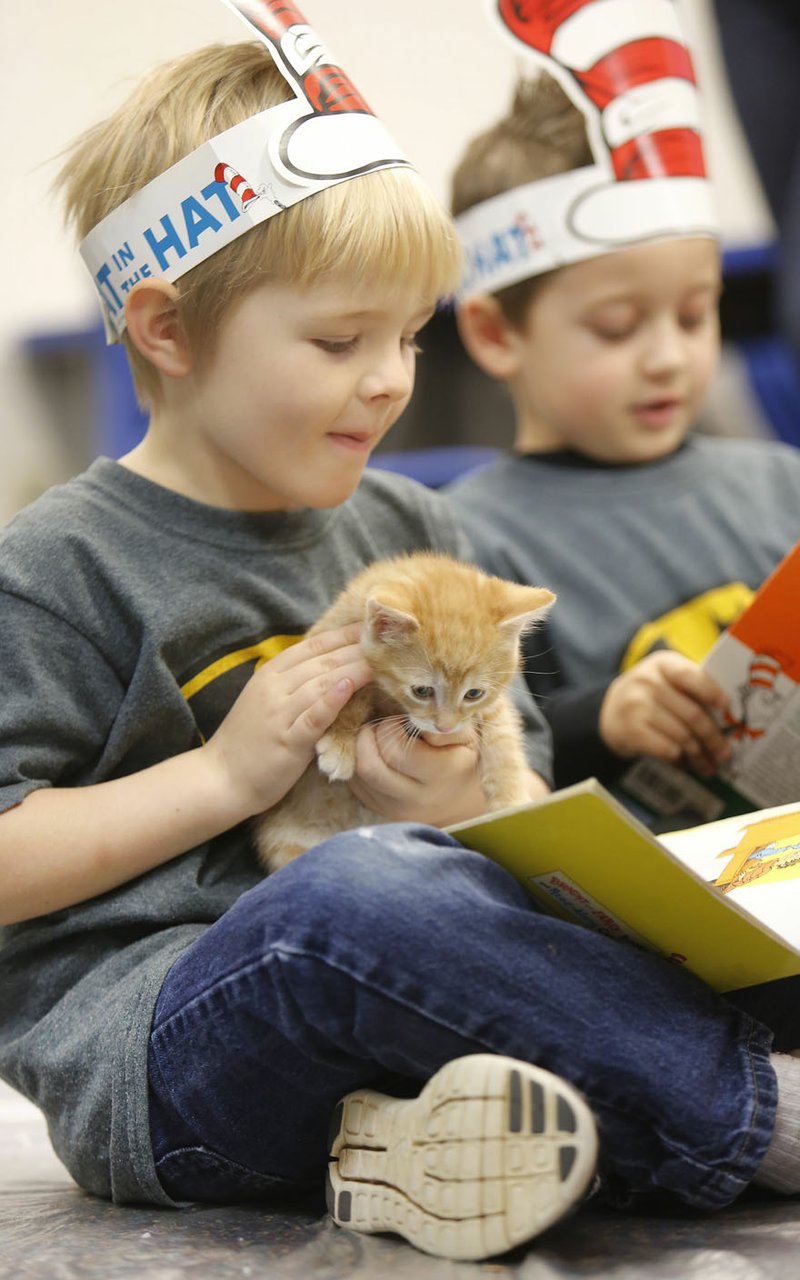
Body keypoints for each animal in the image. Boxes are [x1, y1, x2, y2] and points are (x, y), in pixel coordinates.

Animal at [252, 550, 552, 870]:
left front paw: (511, 803)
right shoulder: (335, 641)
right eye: (422, 691)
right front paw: (339, 743)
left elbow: (503, 739)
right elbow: (350, 690)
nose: (445, 727)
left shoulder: (492, 706)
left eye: (473, 694)